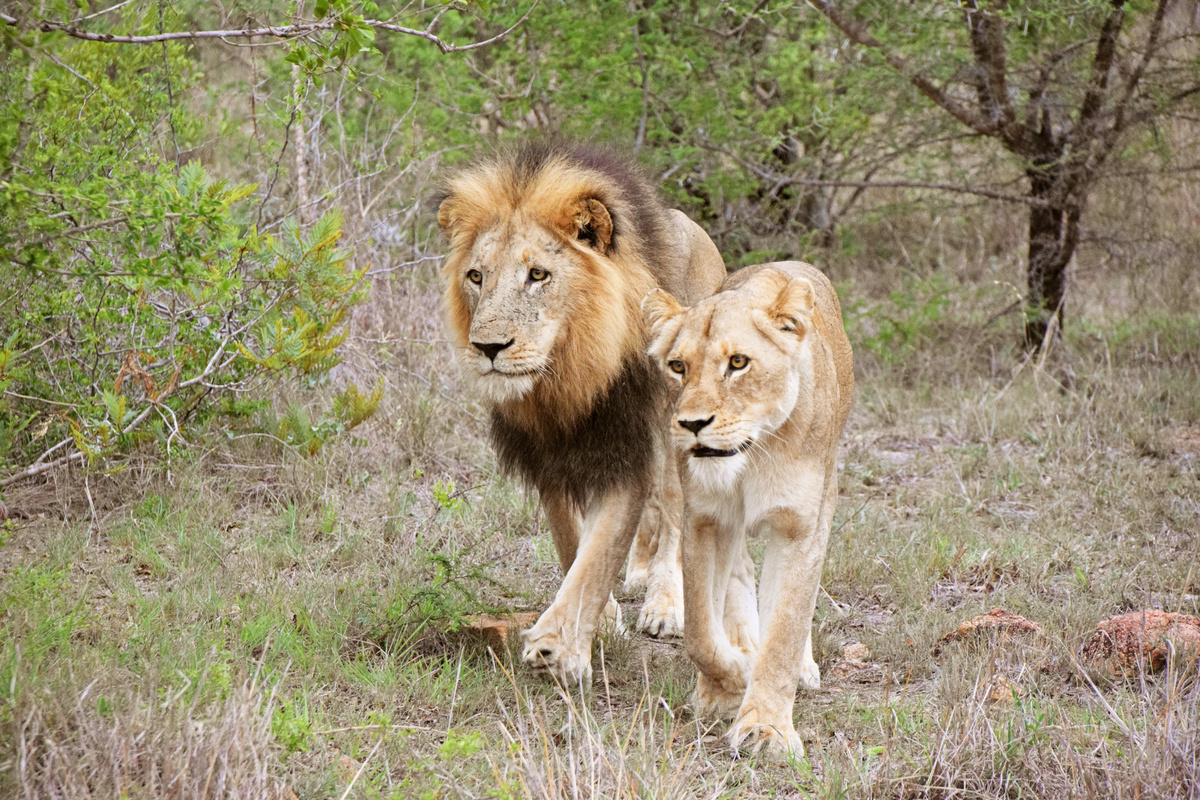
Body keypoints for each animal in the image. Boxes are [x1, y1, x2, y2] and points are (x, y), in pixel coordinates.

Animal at [436, 141, 726, 683]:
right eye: (476, 276)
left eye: (538, 275)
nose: (488, 348)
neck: (563, 381)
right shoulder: (546, 461)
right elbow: (574, 545)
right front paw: (605, 619)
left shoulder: (627, 452)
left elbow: (596, 553)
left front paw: (557, 646)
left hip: (678, 426)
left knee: (674, 509)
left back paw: (664, 604)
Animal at [644, 261, 854, 758]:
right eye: (678, 366)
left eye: (738, 363)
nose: (693, 425)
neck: (752, 455)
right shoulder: (705, 519)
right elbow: (700, 632)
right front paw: (732, 681)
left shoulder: (801, 527)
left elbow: (786, 628)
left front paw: (766, 727)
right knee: (737, 578)